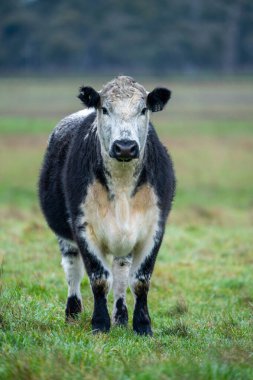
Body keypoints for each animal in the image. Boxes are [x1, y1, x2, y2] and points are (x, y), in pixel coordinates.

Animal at [38, 75, 176, 336]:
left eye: (143, 110)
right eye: (104, 109)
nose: (125, 146)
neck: (121, 188)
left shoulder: (154, 228)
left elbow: (140, 280)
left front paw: (143, 326)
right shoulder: (83, 227)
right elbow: (99, 278)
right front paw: (100, 324)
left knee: (121, 273)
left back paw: (120, 317)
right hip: (65, 235)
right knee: (73, 268)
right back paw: (73, 313)